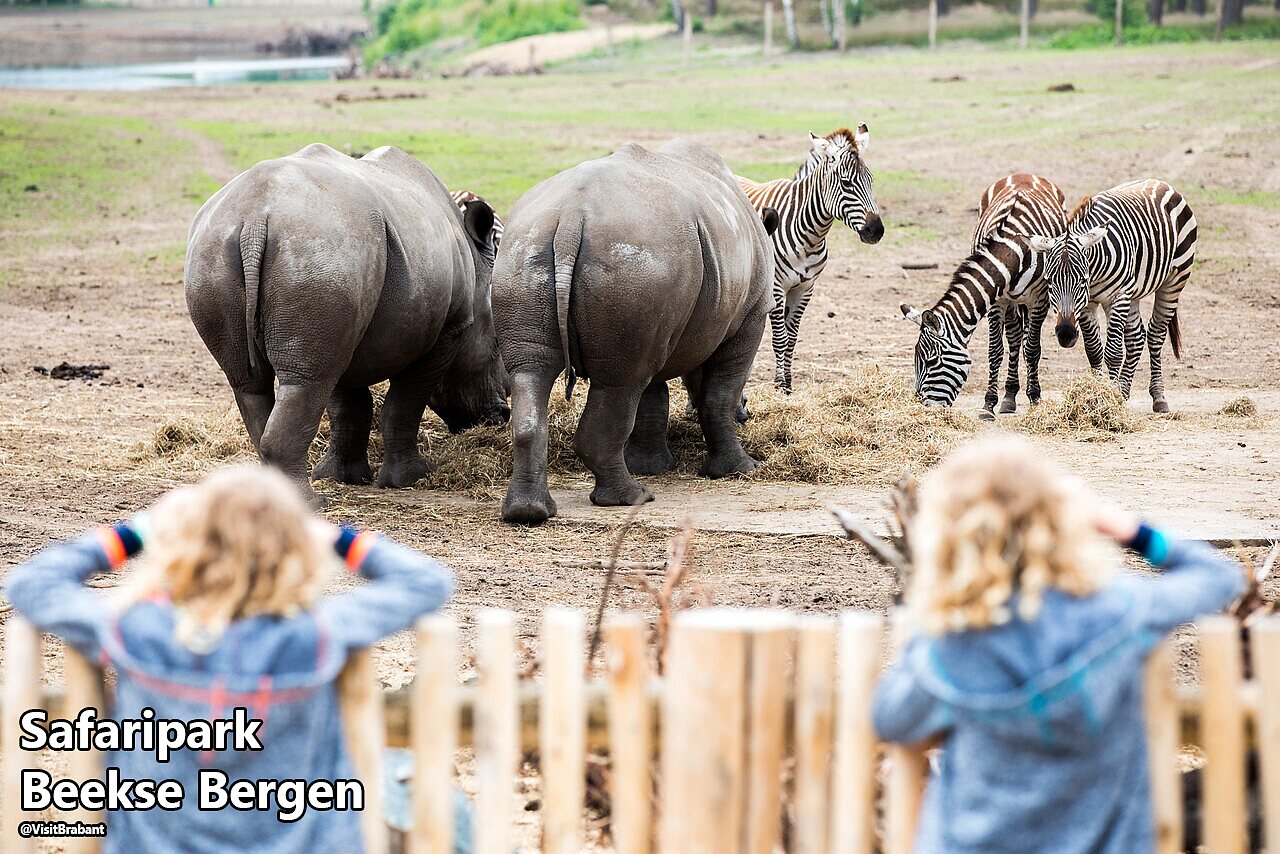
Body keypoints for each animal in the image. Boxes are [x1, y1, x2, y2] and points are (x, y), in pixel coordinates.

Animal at [185, 143, 508, 503]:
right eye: (496, 346)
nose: (502, 416)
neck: (477, 265)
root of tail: (255, 219)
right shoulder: (448, 330)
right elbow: (405, 403)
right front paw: (412, 478)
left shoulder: (350, 325)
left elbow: (347, 405)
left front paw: (343, 477)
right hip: (322, 252)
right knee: (307, 381)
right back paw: (312, 503)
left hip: (223, 254)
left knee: (253, 383)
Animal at [493, 139, 779, 525]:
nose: (747, 415)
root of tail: (571, 217)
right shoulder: (750, 316)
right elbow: (718, 394)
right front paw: (741, 469)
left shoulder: (666, 319)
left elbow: (653, 397)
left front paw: (651, 466)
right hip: (637, 260)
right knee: (620, 383)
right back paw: (633, 498)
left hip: (526, 252)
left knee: (537, 371)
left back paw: (529, 513)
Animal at [738, 125, 883, 394]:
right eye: (846, 183)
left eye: (871, 180)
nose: (876, 231)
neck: (811, 235)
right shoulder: (777, 287)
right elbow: (780, 338)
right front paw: (779, 387)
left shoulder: (806, 287)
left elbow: (792, 338)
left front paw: (787, 385)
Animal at [899, 173, 1067, 417]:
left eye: (931, 362)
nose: (924, 408)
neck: (1014, 251)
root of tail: (1023, 174)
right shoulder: (997, 300)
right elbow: (995, 350)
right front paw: (989, 403)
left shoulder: (1041, 298)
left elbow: (1032, 349)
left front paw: (1035, 398)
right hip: (1011, 302)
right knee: (1014, 338)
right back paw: (1009, 396)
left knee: (1025, 340)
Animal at [1029, 179, 1196, 413]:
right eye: (1049, 281)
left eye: (1082, 280)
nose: (1066, 334)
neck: (1094, 270)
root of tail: (1159, 182)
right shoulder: (1088, 304)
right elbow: (1094, 350)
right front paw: (1098, 393)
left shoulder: (1118, 296)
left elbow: (1113, 352)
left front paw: (1109, 397)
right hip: (1133, 293)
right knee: (1136, 337)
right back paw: (1124, 393)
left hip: (1174, 280)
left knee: (1155, 334)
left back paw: (1159, 397)